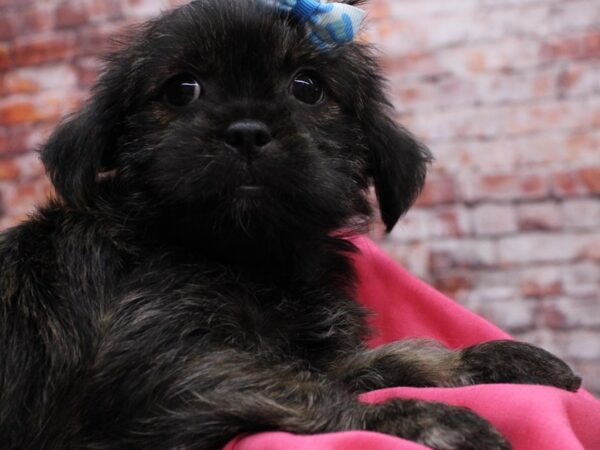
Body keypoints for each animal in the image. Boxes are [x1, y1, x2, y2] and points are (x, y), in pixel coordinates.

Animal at [0, 0, 580, 450]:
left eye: (307, 87)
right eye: (182, 89)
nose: (246, 132)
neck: (247, 255)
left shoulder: (300, 352)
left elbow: (393, 355)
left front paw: (487, 358)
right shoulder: (168, 370)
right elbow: (308, 392)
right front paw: (419, 416)